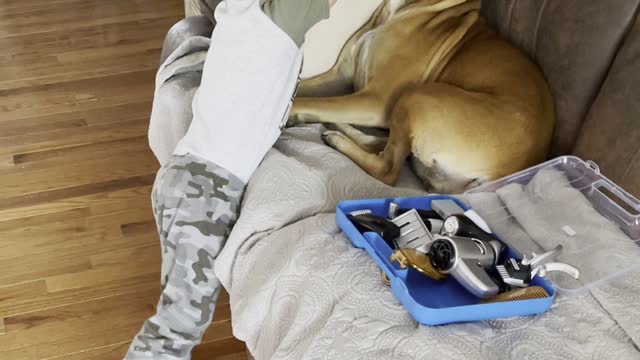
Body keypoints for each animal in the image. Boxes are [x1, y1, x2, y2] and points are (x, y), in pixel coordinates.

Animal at [290, 0, 556, 194]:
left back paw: (338, 139)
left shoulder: (375, 100)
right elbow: (304, 92)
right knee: (382, 146)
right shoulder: (339, 76)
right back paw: (337, 128)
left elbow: (307, 101)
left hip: (415, 97)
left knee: (386, 169)